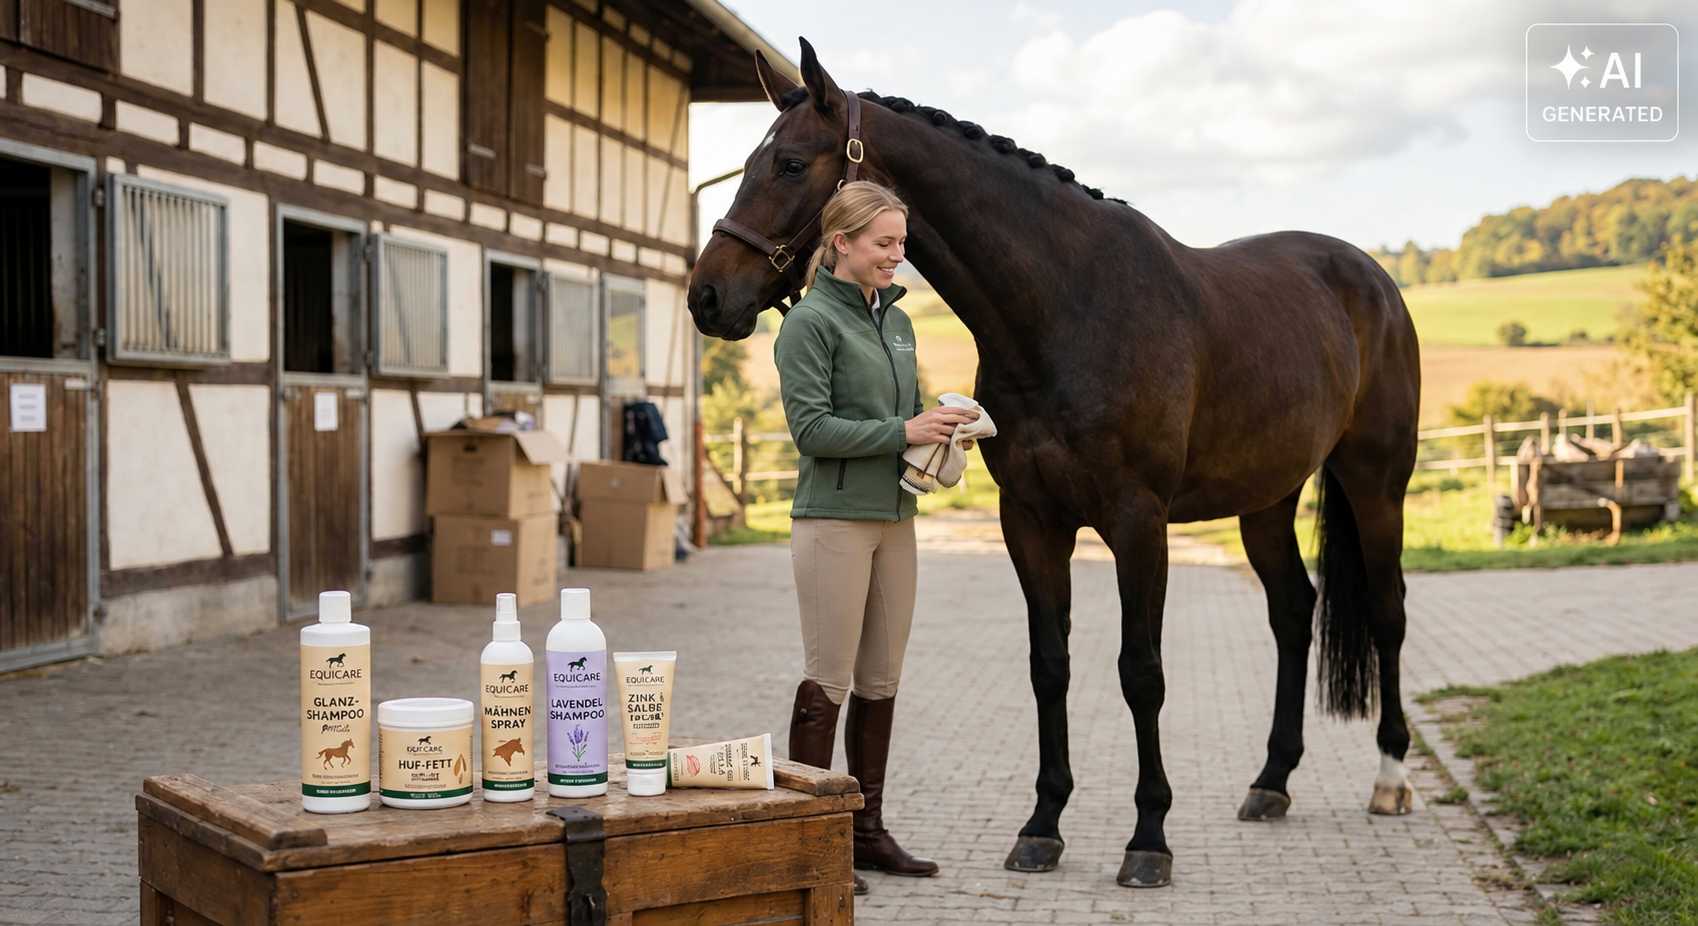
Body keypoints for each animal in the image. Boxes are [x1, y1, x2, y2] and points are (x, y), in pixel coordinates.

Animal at [685, 39, 1421, 889]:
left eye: (792, 163)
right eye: (749, 162)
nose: (707, 296)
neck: (1068, 310)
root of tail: (1370, 277)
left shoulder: (1138, 524)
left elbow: (1141, 671)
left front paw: (1148, 839)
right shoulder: (1031, 521)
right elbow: (1050, 666)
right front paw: (1042, 826)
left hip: (1376, 484)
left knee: (1388, 611)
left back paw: (1391, 779)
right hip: (1265, 499)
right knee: (1293, 611)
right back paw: (1271, 782)